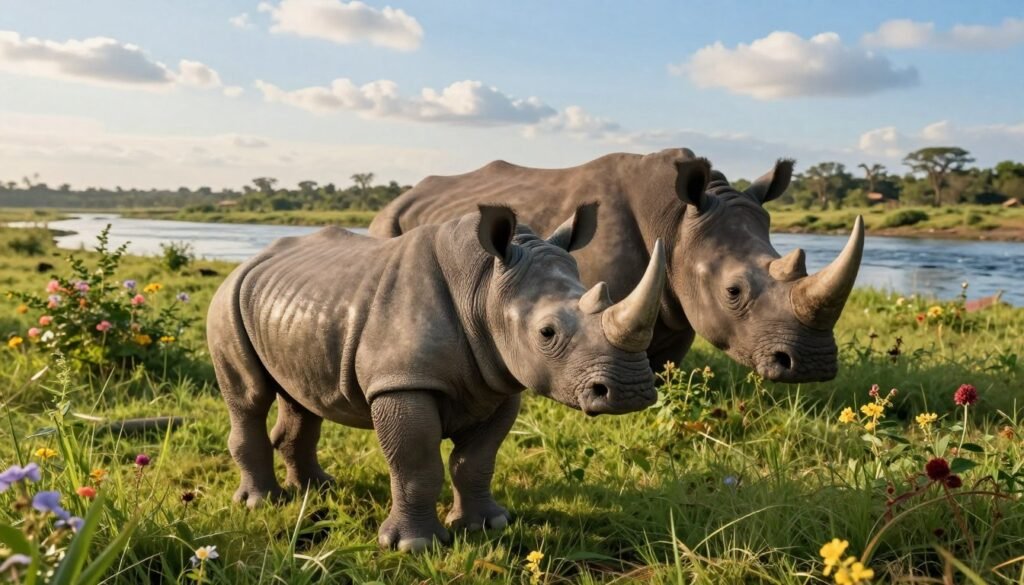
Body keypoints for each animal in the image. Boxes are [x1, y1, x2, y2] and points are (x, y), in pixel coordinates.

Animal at [208, 204, 666, 552]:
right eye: (547, 333)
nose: (632, 391)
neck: (484, 287)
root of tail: (248, 263)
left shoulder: (500, 382)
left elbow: (477, 461)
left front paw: (487, 525)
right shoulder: (402, 381)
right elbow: (416, 463)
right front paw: (415, 546)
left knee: (300, 397)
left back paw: (317, 490)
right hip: (226, 301)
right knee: (249, 398)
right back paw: (260, 503)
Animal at [370, 148, 864, 382]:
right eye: (733, 291)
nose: (813, 366)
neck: (678, 220)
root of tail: (403, 197)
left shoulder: (675, 301)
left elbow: (663, 358)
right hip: (386, 222)